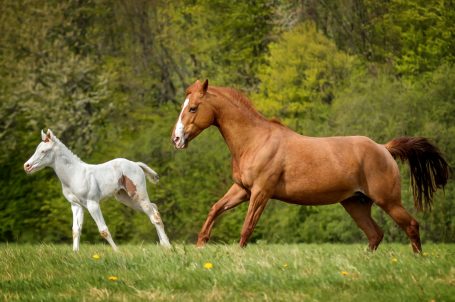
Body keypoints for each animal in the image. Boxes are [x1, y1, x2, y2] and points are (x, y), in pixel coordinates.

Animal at [22, 129, 171, 251]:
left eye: (44, 151)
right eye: (37, 149)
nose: (26, 166)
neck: (74, 174)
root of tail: (135, 164)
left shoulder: (92, 204)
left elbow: (103, 230)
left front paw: (117, 252)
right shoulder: (76, 205)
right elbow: (76, 230)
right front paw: (75, 253)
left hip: (138, 194)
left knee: (154, 216)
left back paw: (168, 247)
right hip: (125, 198)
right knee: (154, 209)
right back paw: (164, 245)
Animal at [173, 79, 450, 251]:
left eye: (194, 108)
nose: (176, 139)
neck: (255, 141)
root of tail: (384, 148)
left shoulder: (261, 192)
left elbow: (246, 228)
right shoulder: (242, 189)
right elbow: (215, 209)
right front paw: (200, 245)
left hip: (388, 201)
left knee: (411, 226)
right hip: (355, 203)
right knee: (375, 234)